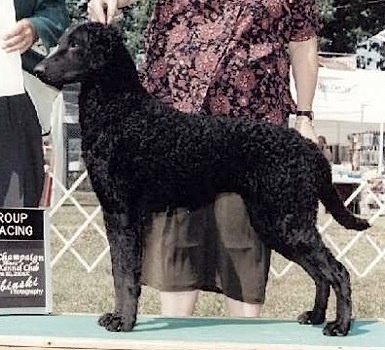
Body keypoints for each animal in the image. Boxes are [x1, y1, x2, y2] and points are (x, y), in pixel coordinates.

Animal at [35, 22, 368, 336]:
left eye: (75, 45)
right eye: (61, 42)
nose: (38, 70)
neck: (122, 110)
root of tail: (310, 148)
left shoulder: (124, 215)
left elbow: (127, 275)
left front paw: (125, 321)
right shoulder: (114, 215)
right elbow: (119, 272)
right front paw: (118, 316)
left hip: (288, 221)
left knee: (338, 272)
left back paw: (340, 326)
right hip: (278, 223)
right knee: (320, 273)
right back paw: (316, 316)